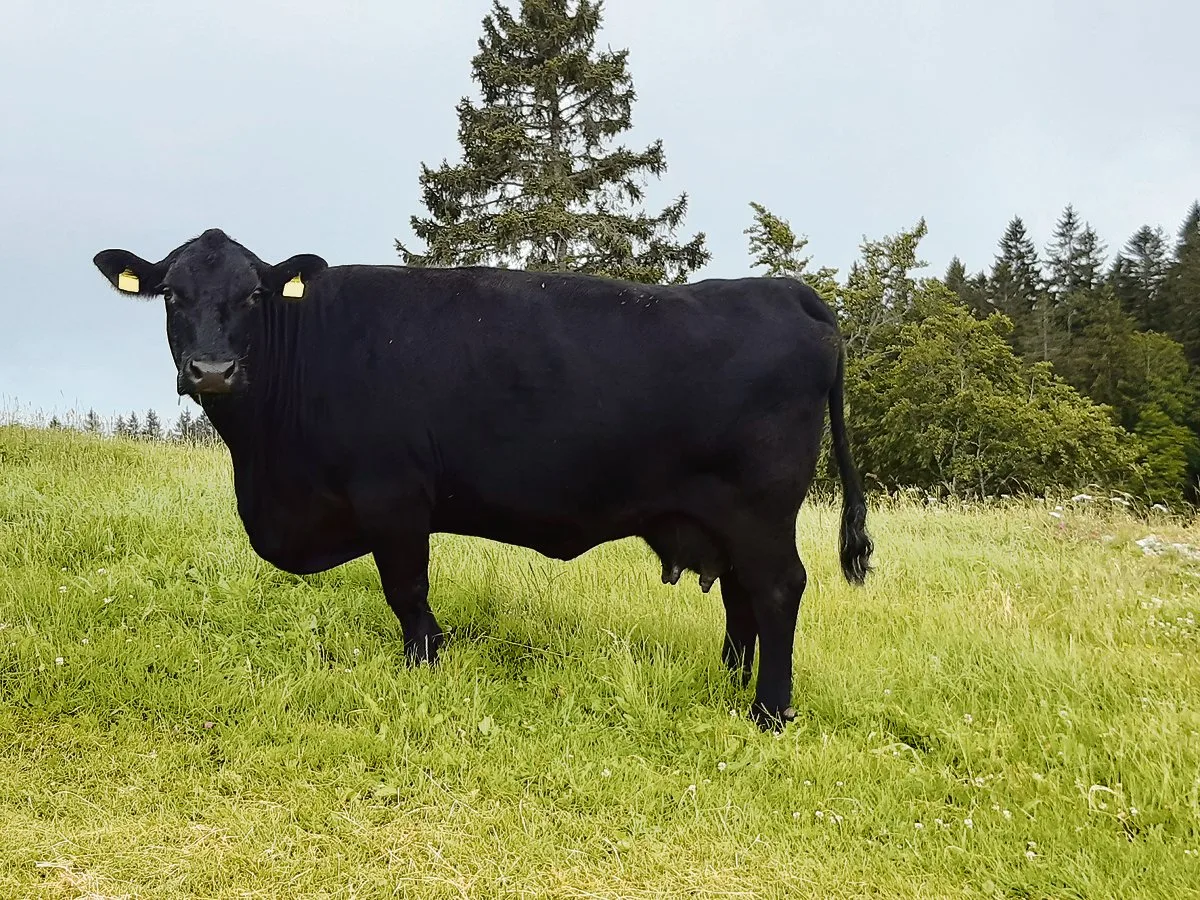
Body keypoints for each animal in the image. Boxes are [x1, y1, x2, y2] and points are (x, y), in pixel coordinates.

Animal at [92, 228, 873, 730]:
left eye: (254, 294)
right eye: (171, 295)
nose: (212, 370)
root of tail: (788, 292)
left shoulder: (393, 495)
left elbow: (407, 590)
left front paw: (425, 664)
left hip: (760, 510)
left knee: (777, 590)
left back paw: (768, 711)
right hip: (724, 517)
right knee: (742, 597)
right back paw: (728, 681)